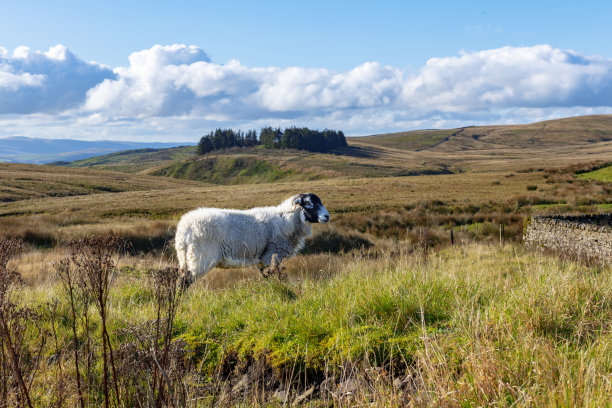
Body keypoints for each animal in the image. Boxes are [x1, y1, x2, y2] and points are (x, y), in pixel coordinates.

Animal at [175, 191, 330, 280]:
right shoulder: (272, 255)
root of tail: (184, 228)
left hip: (185, 258)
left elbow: (267, 277)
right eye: (308, 203)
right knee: (184, 281)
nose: (327, 216)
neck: (286, 220)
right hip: (201, 257)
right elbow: (276, 278)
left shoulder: (263, 259)